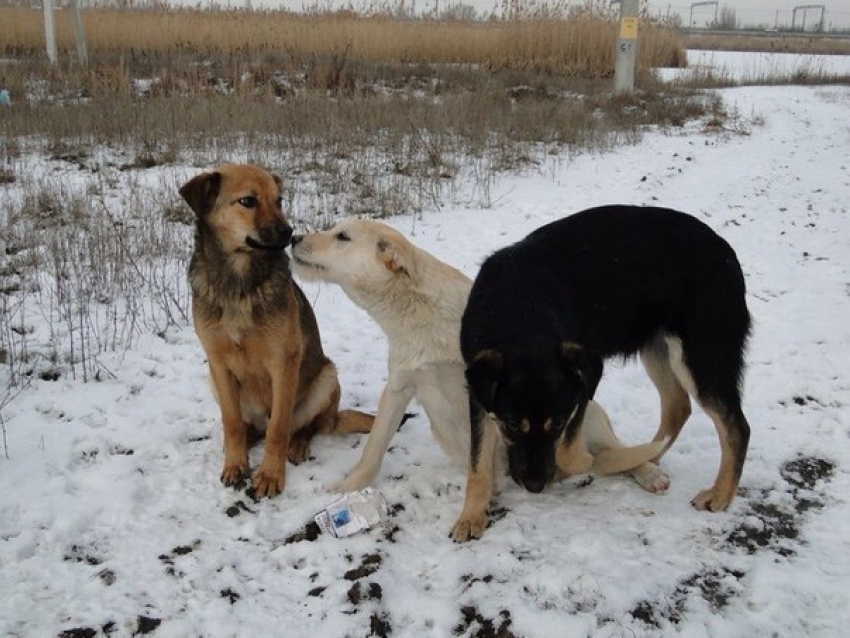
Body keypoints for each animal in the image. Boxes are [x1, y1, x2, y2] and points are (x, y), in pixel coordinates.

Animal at [179, 165, 372, 500]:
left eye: (279, 200)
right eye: (247, 201)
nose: (289, 232)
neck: (240, 284)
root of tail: (334, 417)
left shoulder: (283, 363)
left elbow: (279, 428)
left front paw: (270, 475)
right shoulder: (217, 362)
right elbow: (231, 422)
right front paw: (236, 463)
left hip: (326, 376)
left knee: (305, 426)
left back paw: (298, 445)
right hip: (215, 381)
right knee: (251, 427)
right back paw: (247, 440)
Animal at [292, 220, 668, 496]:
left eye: (342, 236)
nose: (294, 237)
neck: (416, 320)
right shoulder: (399, 387)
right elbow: (374, 447)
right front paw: (351, 486)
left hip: (589, 416)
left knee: (615, 450)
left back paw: (648, 472)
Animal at [450, 208, 748, 544]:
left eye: (559, 423)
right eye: (512, 424)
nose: (535, 486)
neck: (521, 311)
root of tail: (725, 251)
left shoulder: (581, 391)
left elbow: (568, 452)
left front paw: (579, 466)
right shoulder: (480, 394)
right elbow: (477, 465)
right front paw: (471, 517)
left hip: (700, 358)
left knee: (737, 427)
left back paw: (720, 494)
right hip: (658, 349)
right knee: (677, 407)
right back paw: (647, 459)